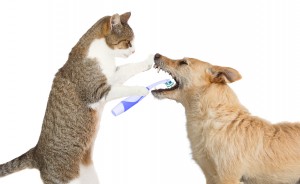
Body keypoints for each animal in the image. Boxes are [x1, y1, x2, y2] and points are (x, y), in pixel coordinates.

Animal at [0, 11, 152, 184]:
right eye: (127, 42)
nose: (134, 51)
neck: (103, 54)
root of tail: (36, 152)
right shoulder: (97, 92)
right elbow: (124, 88)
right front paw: (142, 89)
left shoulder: (112, 76)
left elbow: (129, 68)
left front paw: (147, 62)